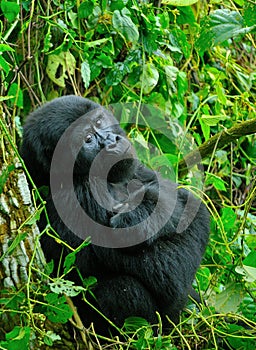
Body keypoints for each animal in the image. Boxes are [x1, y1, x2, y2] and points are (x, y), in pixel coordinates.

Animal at [20, 95, 210, 334]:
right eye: (88, 138)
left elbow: (181, 202)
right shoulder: (81, 196)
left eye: (99, 121)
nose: (112, 140)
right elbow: (168, 277)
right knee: (124, 289)